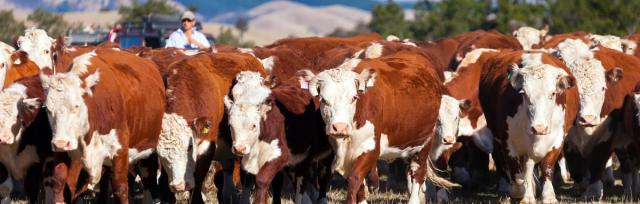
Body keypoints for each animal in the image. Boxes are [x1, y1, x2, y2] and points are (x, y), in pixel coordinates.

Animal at [39, 48, 165, 203]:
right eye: (48, 109)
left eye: (76, 106)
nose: (60, 143)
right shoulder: (63, 152)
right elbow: (59, 183)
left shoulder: (120, 150)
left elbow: (120, 188)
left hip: (150, 147)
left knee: (149, 178)